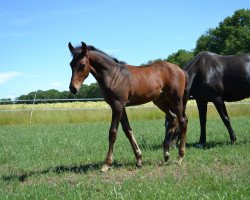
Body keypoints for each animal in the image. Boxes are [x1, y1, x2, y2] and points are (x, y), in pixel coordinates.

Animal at [68, 42, 188, 172]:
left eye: (82, 65)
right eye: (71, 64)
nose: (73, 88)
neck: (113, 75)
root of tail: (180, 70)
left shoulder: (117, 106)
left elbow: (113, 133)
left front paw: (107, 164)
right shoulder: (120, 106)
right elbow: (128, 130)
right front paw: (139, 160)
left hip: (175, 99)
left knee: (182, 121)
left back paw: (180, 157)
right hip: (160, 101)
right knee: (173, 118)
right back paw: (166, 153)